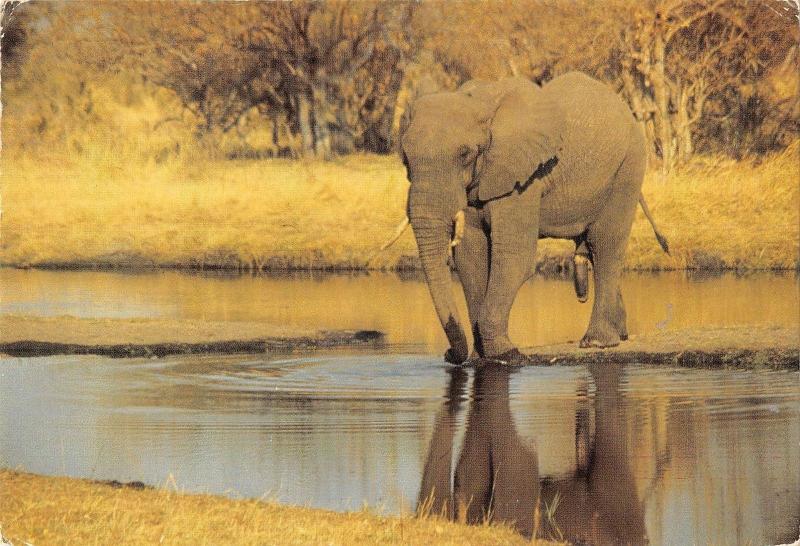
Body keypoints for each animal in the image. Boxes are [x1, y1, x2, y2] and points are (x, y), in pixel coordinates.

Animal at [400, 71, 668, 362]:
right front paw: (481, 356)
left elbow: (514, 256)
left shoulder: (524, 176)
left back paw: (597, 342)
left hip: (628, 166)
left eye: (465, 154)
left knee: (605, 245)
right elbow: (471, 257)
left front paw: (506, 354)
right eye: (405, 159)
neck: (480, 102)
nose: (448, 354)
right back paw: (620, 335)